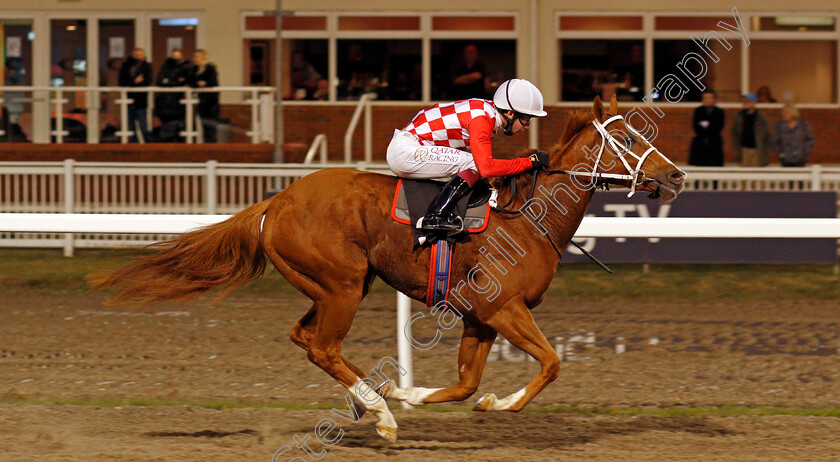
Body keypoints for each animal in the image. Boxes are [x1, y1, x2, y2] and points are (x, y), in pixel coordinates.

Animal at [93, 95, 684, 442]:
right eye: (629, 138)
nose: (676, 176)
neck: (529, 218)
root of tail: (277, 200)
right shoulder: (502, 307)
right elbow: (552, 364)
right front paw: (489, 402)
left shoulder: (480, 316)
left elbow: (467, 385)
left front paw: (426, 395)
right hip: (342, 285)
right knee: (322, 346)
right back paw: (379, 410)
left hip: (332, 286)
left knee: (305, 339)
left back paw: (369, 403)